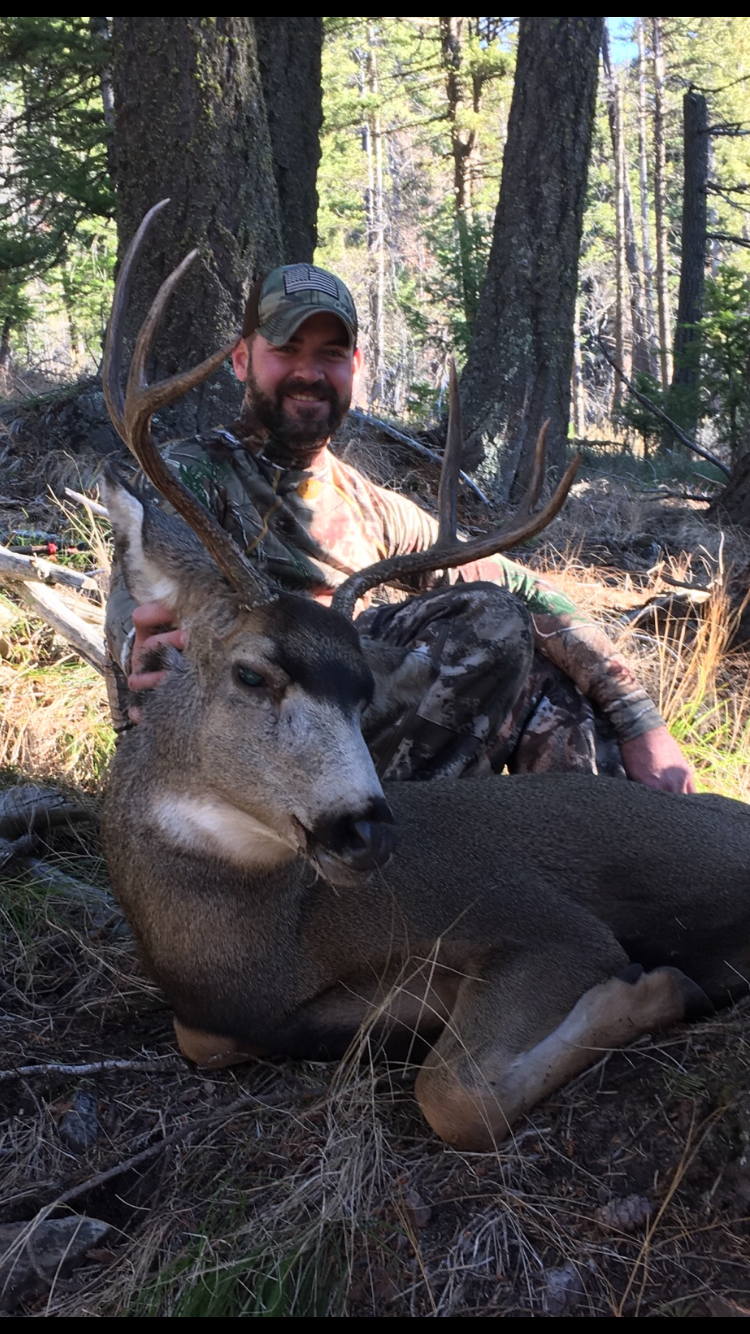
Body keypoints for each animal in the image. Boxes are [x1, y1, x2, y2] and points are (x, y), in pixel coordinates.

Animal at [100, 203, 750, 1152]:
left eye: (364, 692)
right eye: (254, 674)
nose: (367, 831)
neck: (258, 947)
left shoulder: (543, 924)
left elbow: (454, 1096)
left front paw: (659, 987)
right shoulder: (222, 1016)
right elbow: (208, 1041)